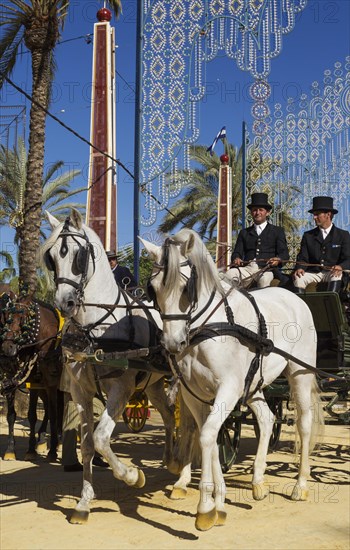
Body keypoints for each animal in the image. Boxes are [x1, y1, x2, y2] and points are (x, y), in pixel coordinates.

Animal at [42, 210, 194, 528]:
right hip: (152, 383)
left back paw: (182, 476)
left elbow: (101, 439)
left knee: (189, 424)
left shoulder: (121, 390)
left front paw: (132, 475)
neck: (94, 330)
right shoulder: (80, 392)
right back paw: (170, 459)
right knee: (167, 415)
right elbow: (88, 444)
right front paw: (84, 502)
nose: (65, 303)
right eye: (50, 257)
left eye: (78, 254)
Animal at [141, 230, 324, 536]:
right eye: (153, 288)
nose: (172, 343)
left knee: (304, 424)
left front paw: (206, 508)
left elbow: (207, 436)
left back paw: (300, 485)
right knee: (266, 419)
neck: (208, 327)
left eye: (186, 288)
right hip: (254, 385)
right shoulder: (195, 394)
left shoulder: (228, 389)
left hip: (300, 373)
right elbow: (210, 436)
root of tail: (293, 297)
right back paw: (258, 480)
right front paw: (218, 503)